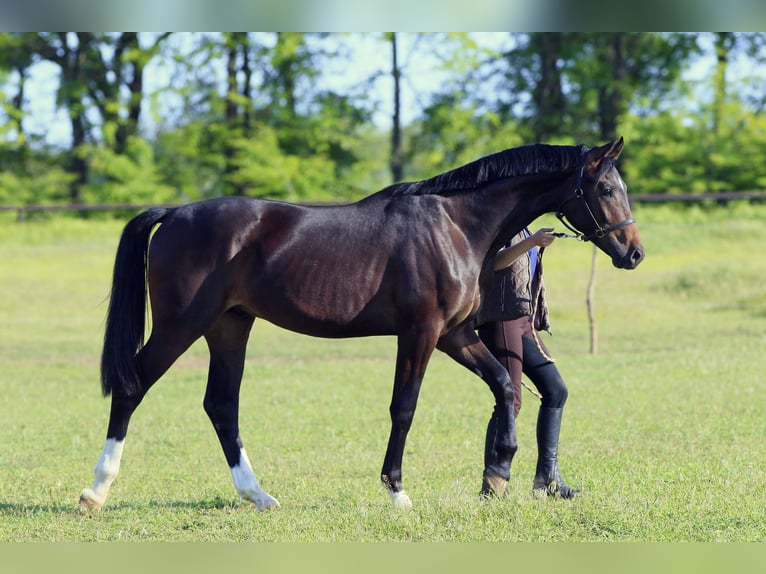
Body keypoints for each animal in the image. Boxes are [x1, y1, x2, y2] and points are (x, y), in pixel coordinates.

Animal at [78, 138, 644, 512]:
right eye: (605, 187)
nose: (634, 253)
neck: (456, 225)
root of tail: (174, 215)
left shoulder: (456, 336)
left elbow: (505, 384)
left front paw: (498, 472)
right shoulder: (421, 333)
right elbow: (404, 408)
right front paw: (397, 491)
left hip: (230, 326)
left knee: (221, 406)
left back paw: (258, 495)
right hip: (182, 324)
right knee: (132, 387)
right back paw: (95, 491)